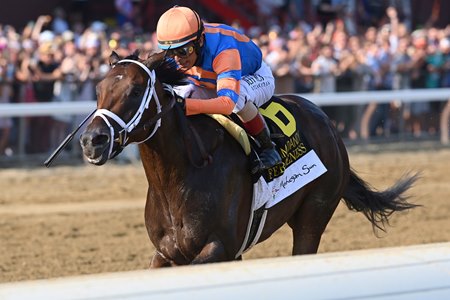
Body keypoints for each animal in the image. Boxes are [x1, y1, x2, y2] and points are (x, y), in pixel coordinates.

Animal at [78, 51, 418, 268]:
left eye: (136, 91)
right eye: (99, 88)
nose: (92, 141)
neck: (179, 176)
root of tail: (327, 122)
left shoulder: (220, 248)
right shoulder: (167, 254)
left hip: (313, 215)